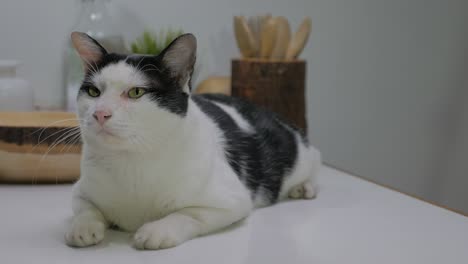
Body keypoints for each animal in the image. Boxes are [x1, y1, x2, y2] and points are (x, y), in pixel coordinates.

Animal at [66, 31, 320, 250]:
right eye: (93, 92)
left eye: (136, 92)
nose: (100, 113)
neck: (133, 160)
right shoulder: (80, 190)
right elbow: (85, 208)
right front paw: (83, 227)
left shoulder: (230, 201)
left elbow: (187, 214)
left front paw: (156, 230)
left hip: (301, 154)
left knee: (316, 159)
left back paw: (305, 186)